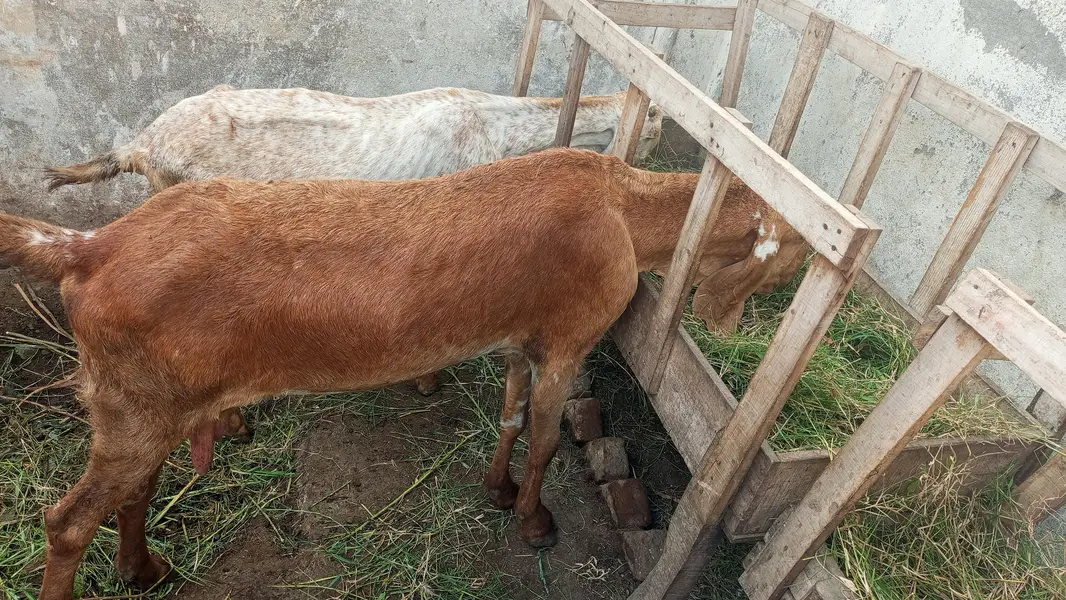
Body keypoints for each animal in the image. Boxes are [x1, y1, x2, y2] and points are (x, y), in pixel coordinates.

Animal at [2, 148, 788, 600]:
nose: (742, 324)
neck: (623, 207)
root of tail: (88, 247)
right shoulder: (569, 340)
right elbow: (544, 440)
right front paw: (534, 521)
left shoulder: (517, 339)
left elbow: (509, 417)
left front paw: (497, 489)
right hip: (136, 405)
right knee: (69, 521)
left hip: (152, 404)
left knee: (133, 493)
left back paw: (146, 571)